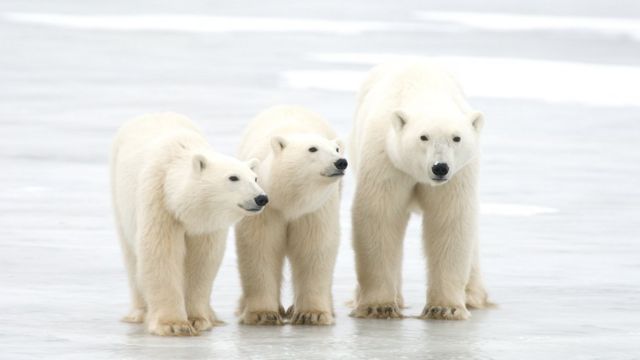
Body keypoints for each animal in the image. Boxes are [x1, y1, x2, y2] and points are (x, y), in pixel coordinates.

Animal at [112, 112, 268, 334]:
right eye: (233, 177)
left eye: (255, 178)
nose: (261, 198)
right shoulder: (159, 201)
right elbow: (161, 253)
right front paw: (173, 324)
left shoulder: (206, 224)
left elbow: (203, 260)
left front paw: (197, 319)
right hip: (119, 195)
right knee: (131, 255)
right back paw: (139, 312)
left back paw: (214, 316)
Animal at [235, 105, 348, 326]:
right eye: (312, 149)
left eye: (336, 150)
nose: (341, 162)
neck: (289, 200)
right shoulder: (267, 210)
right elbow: (260, 247)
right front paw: (263, 314)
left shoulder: (314, 210)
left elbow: (314, 248)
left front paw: (312, 314)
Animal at [350, 61, 490, 320]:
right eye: (423, 137)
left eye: (457, 138)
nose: (440, 167)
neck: (423, 90)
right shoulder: (387, 159)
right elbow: (380, 216)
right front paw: (379, 306)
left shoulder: (457, 176)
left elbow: (449, 220)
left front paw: (445, 308)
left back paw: (473, 296)